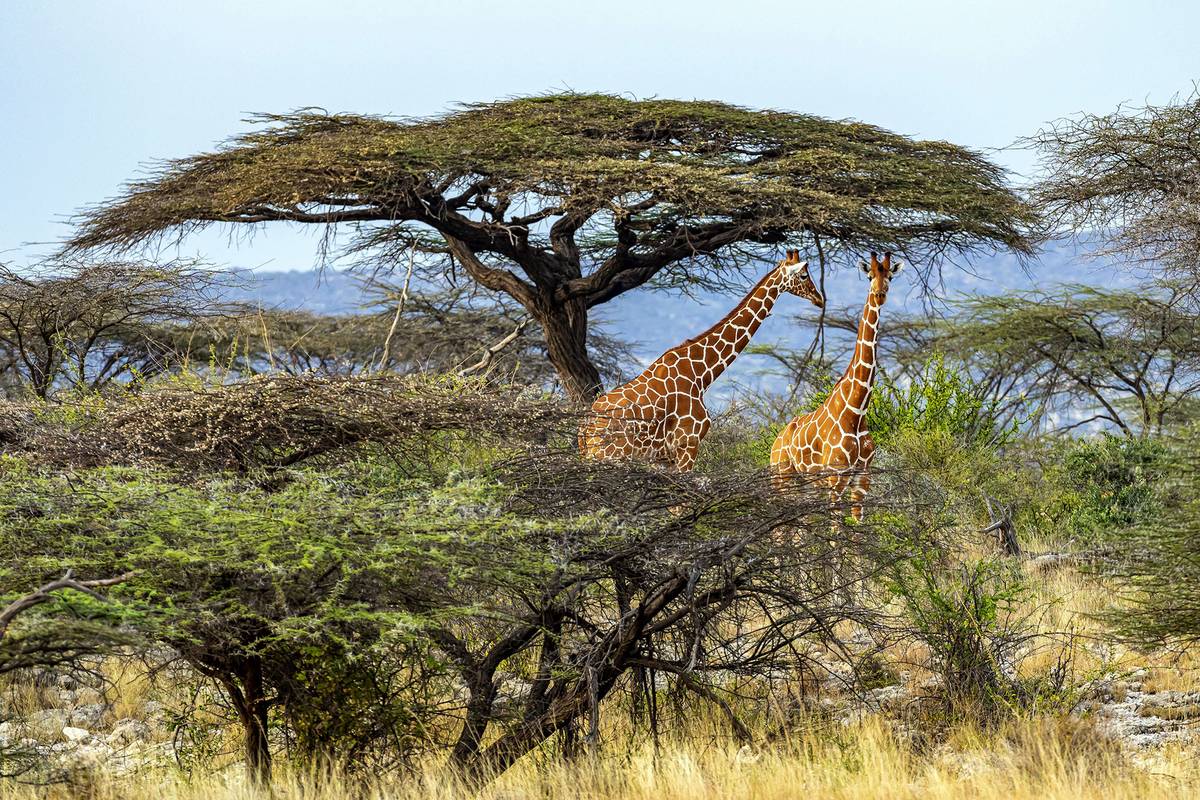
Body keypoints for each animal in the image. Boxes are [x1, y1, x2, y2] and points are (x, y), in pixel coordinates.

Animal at [578, 250, 825, 472]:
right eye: (804, 275)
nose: (820, 299)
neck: (701, 374)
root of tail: (584, 426)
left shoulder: (665, 458)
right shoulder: (687, 444)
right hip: (607, 456)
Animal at [772, 251, 902, 520]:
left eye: (891, 276)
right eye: (869, 276)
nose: (880, 294)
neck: (857, 410)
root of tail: (774, 444)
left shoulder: (862, 478)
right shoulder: (836, 477)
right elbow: (836, 531)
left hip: (805, 489)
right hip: (783, 479)